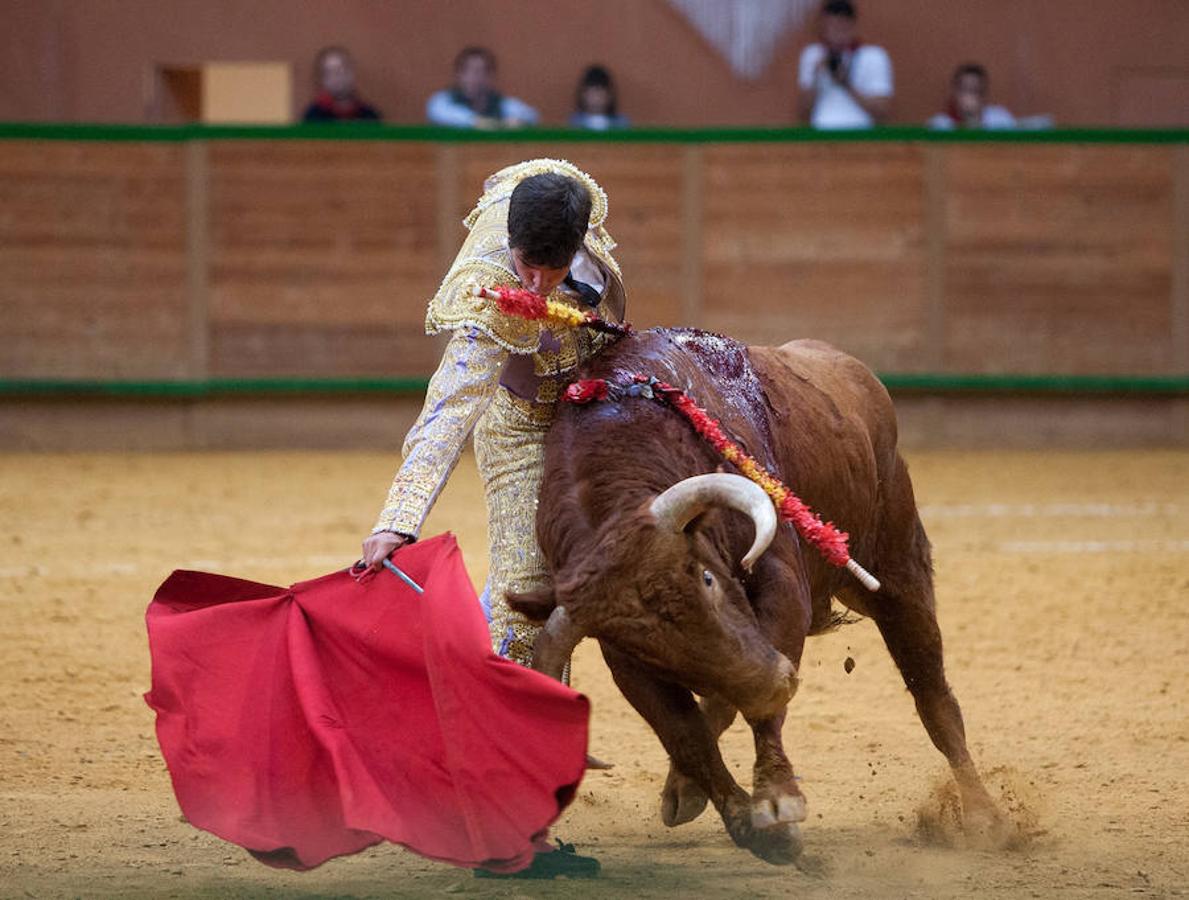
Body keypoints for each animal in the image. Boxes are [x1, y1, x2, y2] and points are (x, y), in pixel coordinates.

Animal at [508, 325, 1003, 860]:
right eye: (647, 647)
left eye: (707, 579)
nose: (776, 682)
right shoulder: (629, 664)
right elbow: (687, 736)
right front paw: (751, 824)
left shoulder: (780, 581)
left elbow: (752, 710)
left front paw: (778, 798)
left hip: (898, 574)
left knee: (933, 695)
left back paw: (984, 817)